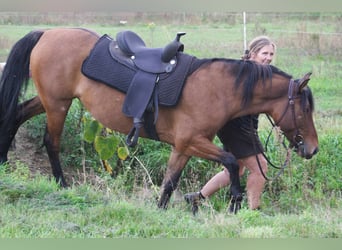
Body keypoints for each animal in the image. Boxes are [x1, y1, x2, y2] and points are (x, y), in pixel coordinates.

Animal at [0, 28, 318, 213]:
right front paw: (235, 201)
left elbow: (170, 182)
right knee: (50, 141)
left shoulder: (184, 146)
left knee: (16, 115)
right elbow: (229, 161)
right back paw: (63, 185)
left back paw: (4, 163)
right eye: (305, 110)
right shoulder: (192, 141)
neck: (217, 88)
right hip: (58, 104)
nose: (312, 149)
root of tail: (48, 33)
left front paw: (162, 211)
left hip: (50, 100)